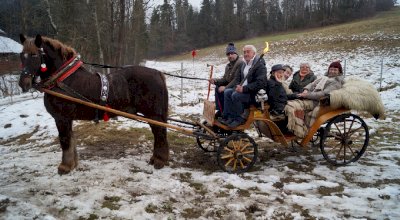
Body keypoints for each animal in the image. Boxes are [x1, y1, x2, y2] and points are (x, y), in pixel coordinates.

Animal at [19, 34, 169, 174]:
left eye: (34, 55)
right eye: (21, 55)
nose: (23, 83)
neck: (63, 80)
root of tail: (158, 73)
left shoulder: (61, 118)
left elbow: (65, 140)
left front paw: (65, 167)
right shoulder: (67, 119)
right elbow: (71, 140)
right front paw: (73, 164)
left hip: (153, 114)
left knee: (159, 133)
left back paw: (159, 160)